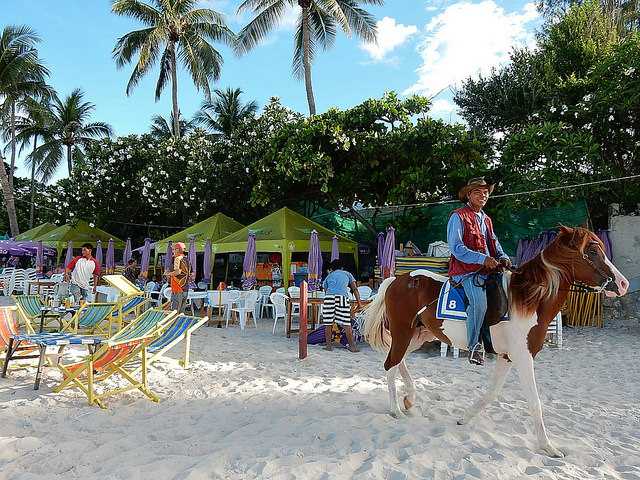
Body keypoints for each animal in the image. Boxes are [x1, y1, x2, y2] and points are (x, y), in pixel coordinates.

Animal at [362, 227, 628, 456]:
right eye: (592, 251)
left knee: (398, 362)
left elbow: (492, 393)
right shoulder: (523, 356)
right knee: (390, 365)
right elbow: (535, 402)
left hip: (418, 336)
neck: (527, 299)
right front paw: (548, 447)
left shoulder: (507, 356)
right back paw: (396, 410)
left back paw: (409, 399)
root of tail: (396, 280)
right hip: (403, 333)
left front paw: (464, 418)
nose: (623, 283)